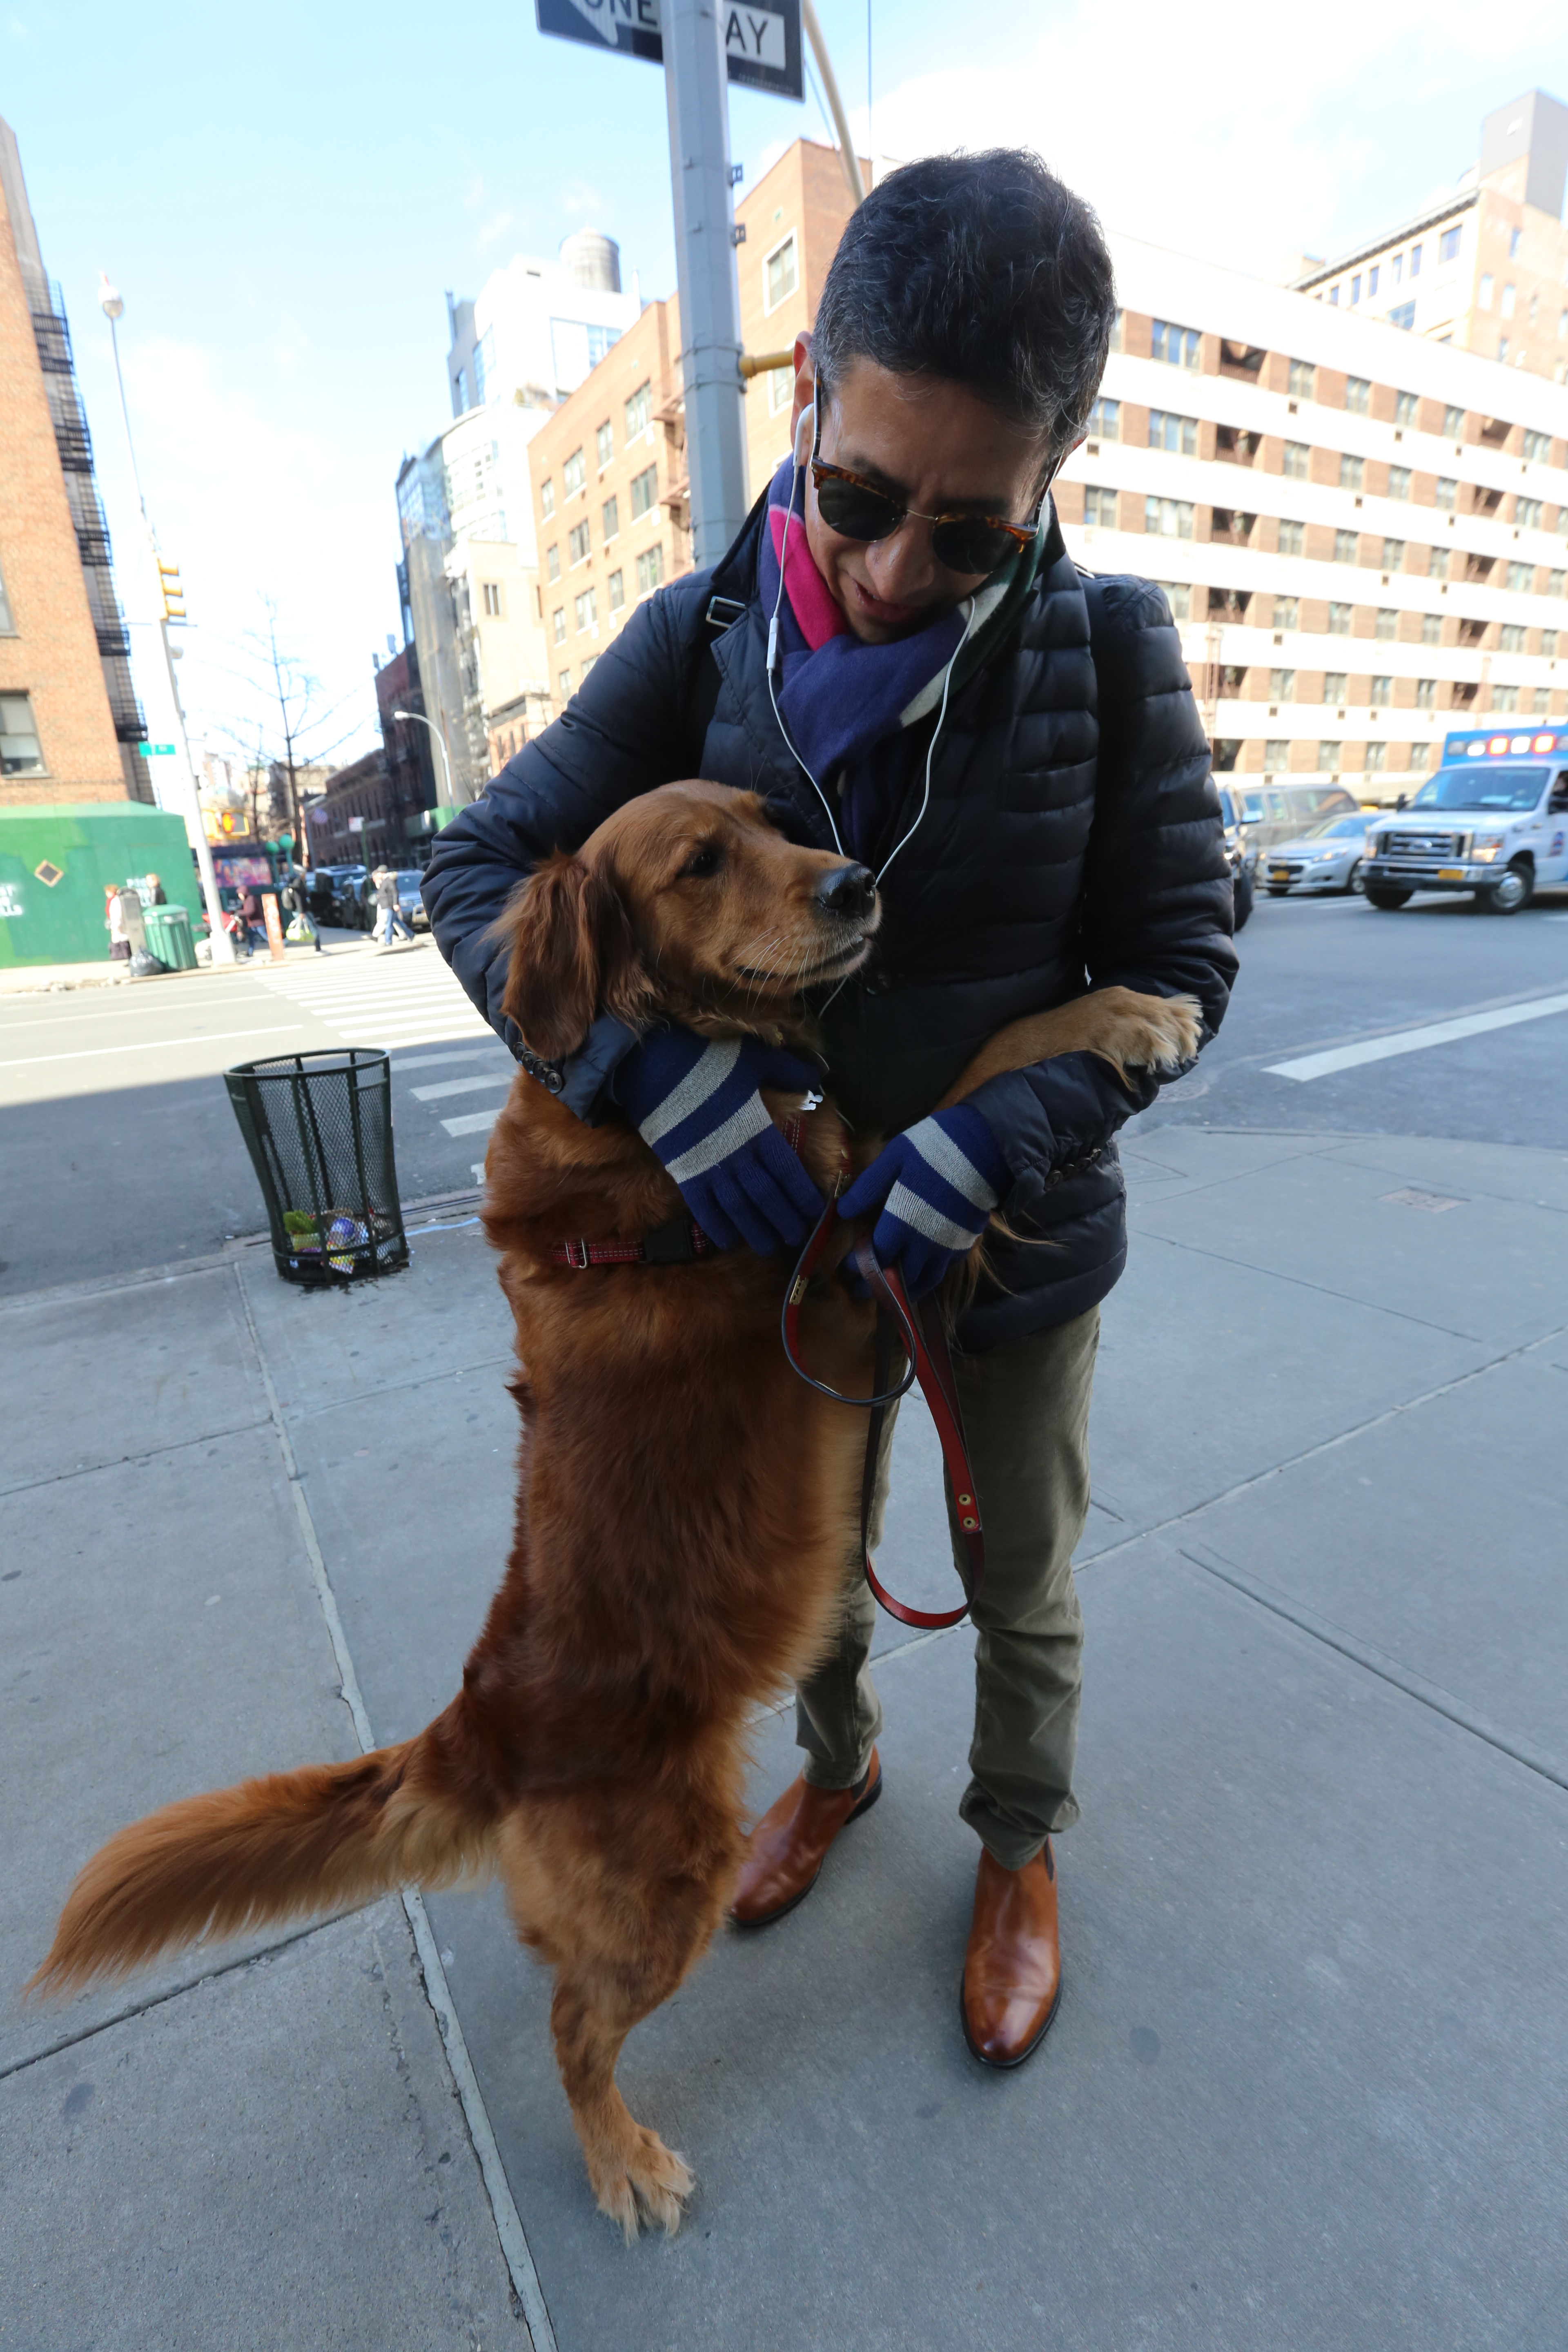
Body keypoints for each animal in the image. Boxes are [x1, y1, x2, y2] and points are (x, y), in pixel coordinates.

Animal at [31, 776, 1213, 2239]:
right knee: (572, 2032)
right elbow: (985, 1063)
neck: (662, 1089)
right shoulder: (852, 1232)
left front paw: (1125, 1010)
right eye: (700, 862)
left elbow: (973, 1078)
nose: (858, 884)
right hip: (667, 1877)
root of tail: (480, 1722)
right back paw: (621, 2162)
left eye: (771, 818)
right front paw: (1128, 1015)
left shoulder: (867, 1222)